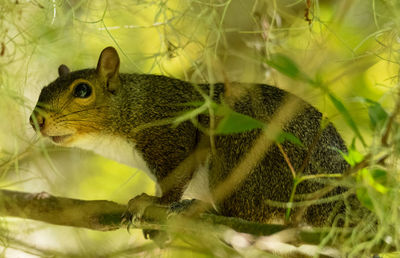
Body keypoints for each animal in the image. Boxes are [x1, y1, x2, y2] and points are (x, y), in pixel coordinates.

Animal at [30, 45, 356, 230]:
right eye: (43, 88)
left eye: (83, 90)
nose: (36, 120)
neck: (132, 105)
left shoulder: (171, 131)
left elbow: (175, 178)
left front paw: (153, 201)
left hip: (246, 159)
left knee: (246, 216)